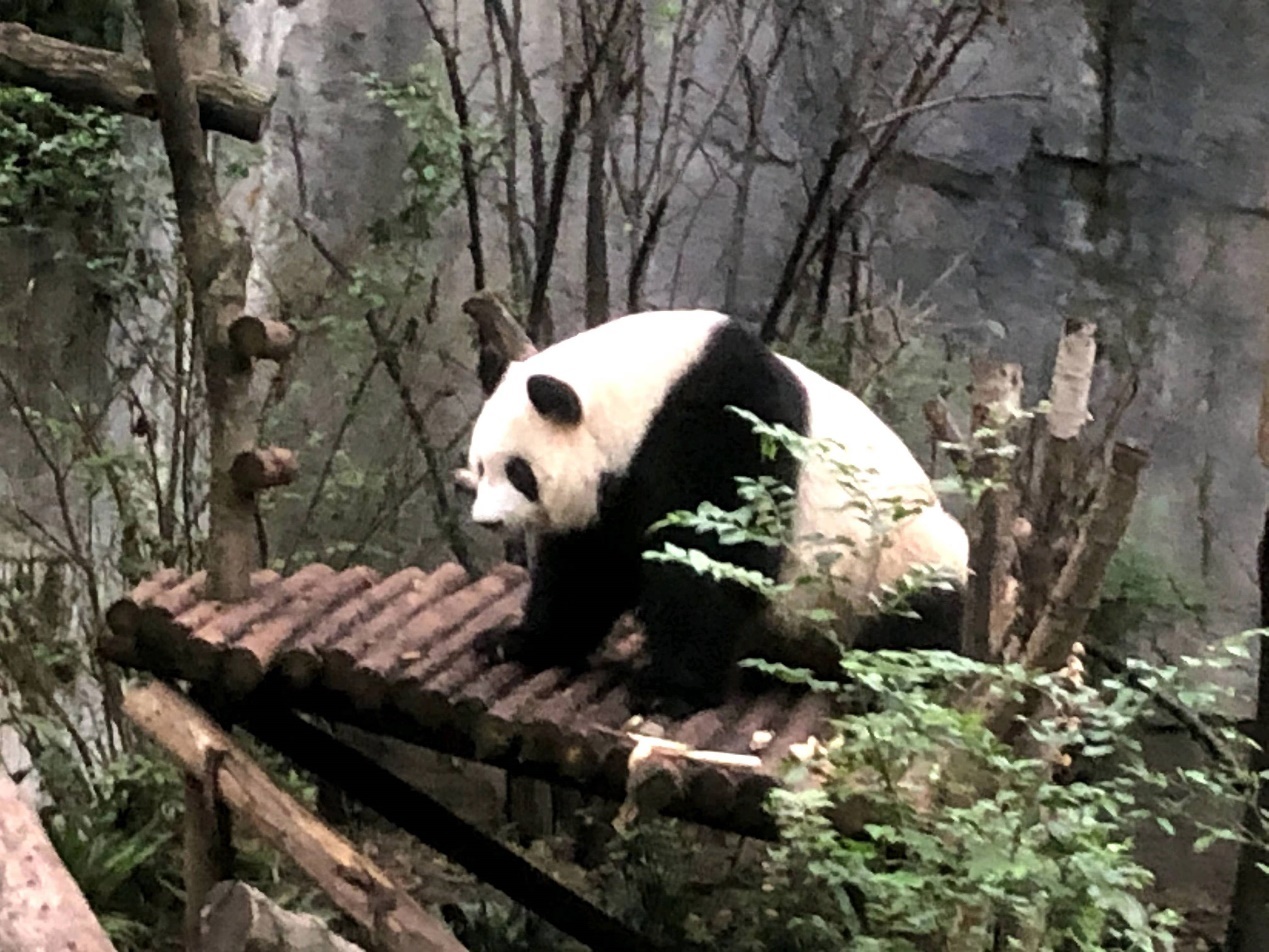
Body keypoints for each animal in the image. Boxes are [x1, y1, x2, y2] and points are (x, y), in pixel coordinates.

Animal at [461, 310, 964, 715]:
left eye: (517, 471)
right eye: (480, 466)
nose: (487, 521)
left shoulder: (726, 421)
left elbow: (712, 557)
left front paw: (667, 690)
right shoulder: (616, 495)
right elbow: (587, 569)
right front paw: (518, 642)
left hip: (900, 560)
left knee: (917, 624)